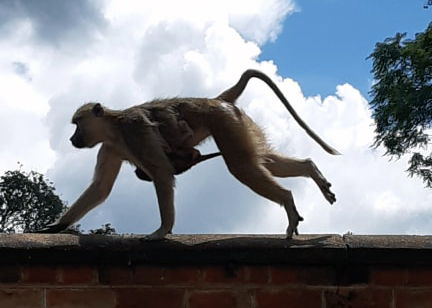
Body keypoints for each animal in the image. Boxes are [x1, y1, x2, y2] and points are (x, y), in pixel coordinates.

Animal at [38, 69, 340, 238]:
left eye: (77, 125)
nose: (72, 138)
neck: (115, 127)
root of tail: (215, 101)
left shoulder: (135, 132)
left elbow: (161, 173)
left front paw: (162, 232)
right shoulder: (110, 147)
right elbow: (100, 188)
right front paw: (58, 225)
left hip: (226, 122)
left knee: (242, 166)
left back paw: (288, 200)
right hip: (238, 124)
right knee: (260, 160)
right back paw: (312, 172)